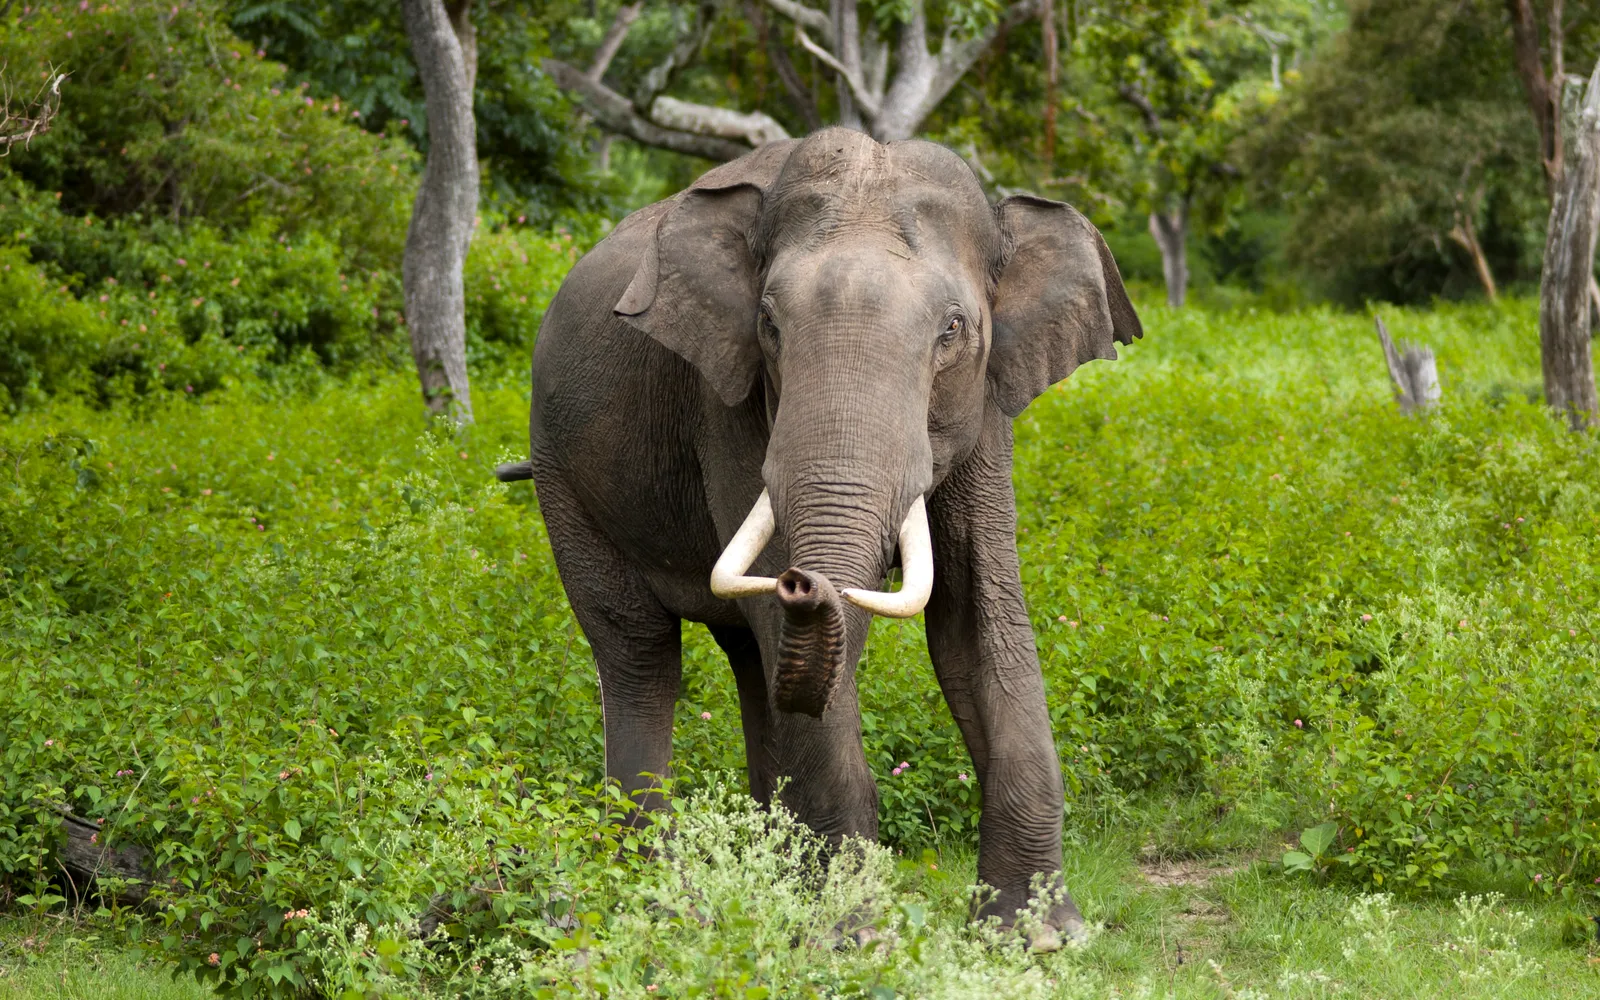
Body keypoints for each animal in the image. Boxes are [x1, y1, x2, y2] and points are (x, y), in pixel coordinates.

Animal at [496, 127, 1141, 945]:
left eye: (953, 329)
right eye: (770, 325)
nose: (805, 581)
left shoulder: (988, 405)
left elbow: (975, 621)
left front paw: (1039, 936)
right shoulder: (728, 402)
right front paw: (853, 937)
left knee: (749, 660)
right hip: (561, 475)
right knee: (639, 651)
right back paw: (659, 900)